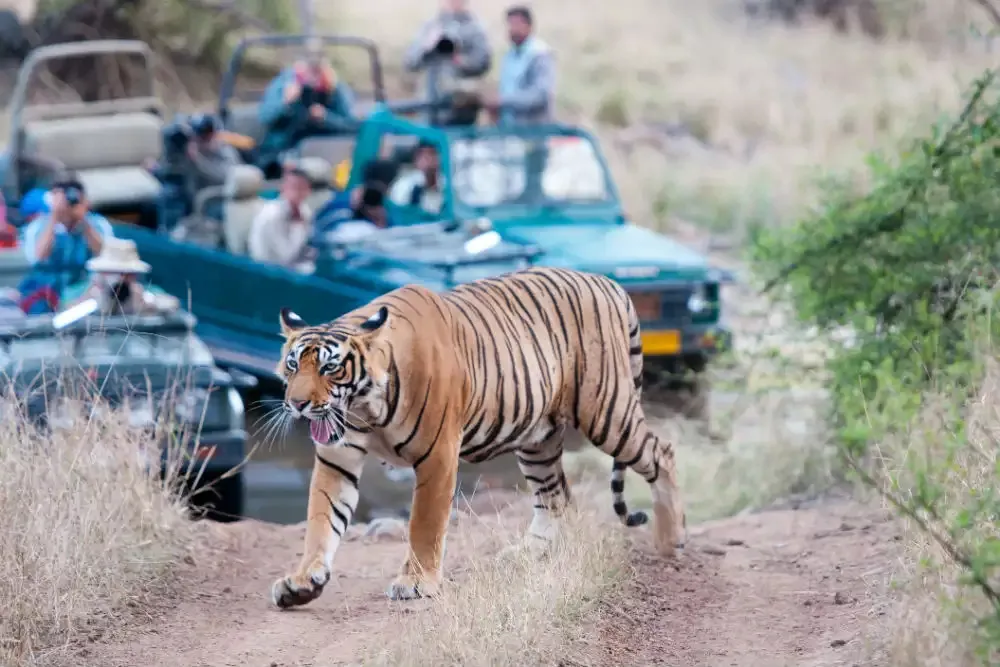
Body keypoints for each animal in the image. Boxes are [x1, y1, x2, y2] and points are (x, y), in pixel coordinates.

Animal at [270, 266, 684, 612]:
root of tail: (607, 282)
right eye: (292, 365)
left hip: (606, 412)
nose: (297, 404)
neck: (365, 408)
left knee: (662, 453)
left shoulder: (437, 455)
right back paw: (527, 555)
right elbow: (322, 519)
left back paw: (671, 542)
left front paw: (416, 582)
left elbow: (424, 523)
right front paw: (302, 582)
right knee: (556, 497)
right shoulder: (337, 458)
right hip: (538, 438)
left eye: (330, 368)